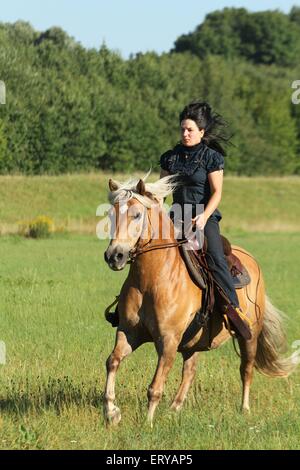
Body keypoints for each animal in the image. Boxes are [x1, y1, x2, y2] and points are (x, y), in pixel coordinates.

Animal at [103, 175, 296, 426]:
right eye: (111, 214)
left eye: (136, 214)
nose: (114, 255)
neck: (151, 279)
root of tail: (252, 261)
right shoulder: (128, 332)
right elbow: (112, 361)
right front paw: (111, 412)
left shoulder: (168, 340)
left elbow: (155, 387)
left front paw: (148, 423)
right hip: (193, 340)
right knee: (190, 370)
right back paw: (175, 408)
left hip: (250, 335)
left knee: (246, 369)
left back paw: (244, 409)